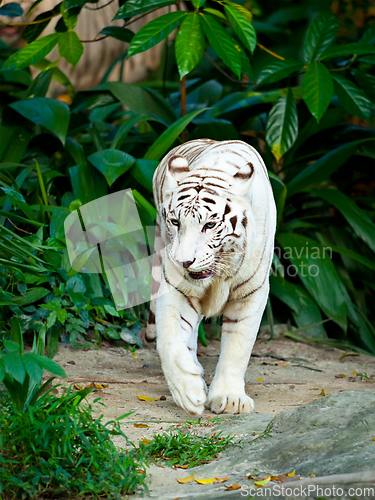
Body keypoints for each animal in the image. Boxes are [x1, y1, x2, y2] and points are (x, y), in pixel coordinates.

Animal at [145, 140, 278, 414]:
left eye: (209, 225)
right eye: (175, 222)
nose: (184, 262)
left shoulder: (251, 292)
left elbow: (238, 346)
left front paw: (230, 399)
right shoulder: (176, 288)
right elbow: (169, 340)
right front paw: (188, 391)